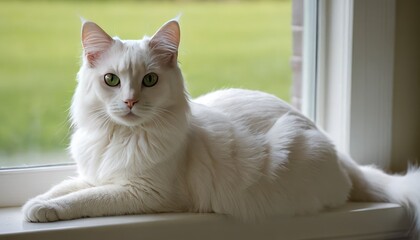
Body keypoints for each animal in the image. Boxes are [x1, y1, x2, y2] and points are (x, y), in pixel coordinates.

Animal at [23, 18, 420, 236]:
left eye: (149, 80)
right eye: (111, 80)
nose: (131, 102)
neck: (122, 136)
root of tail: (336, 149)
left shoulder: (143, 193)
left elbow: (86, 198)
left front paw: (44, 210)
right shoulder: (96, 174)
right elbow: (67, 188)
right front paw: (35, 205)